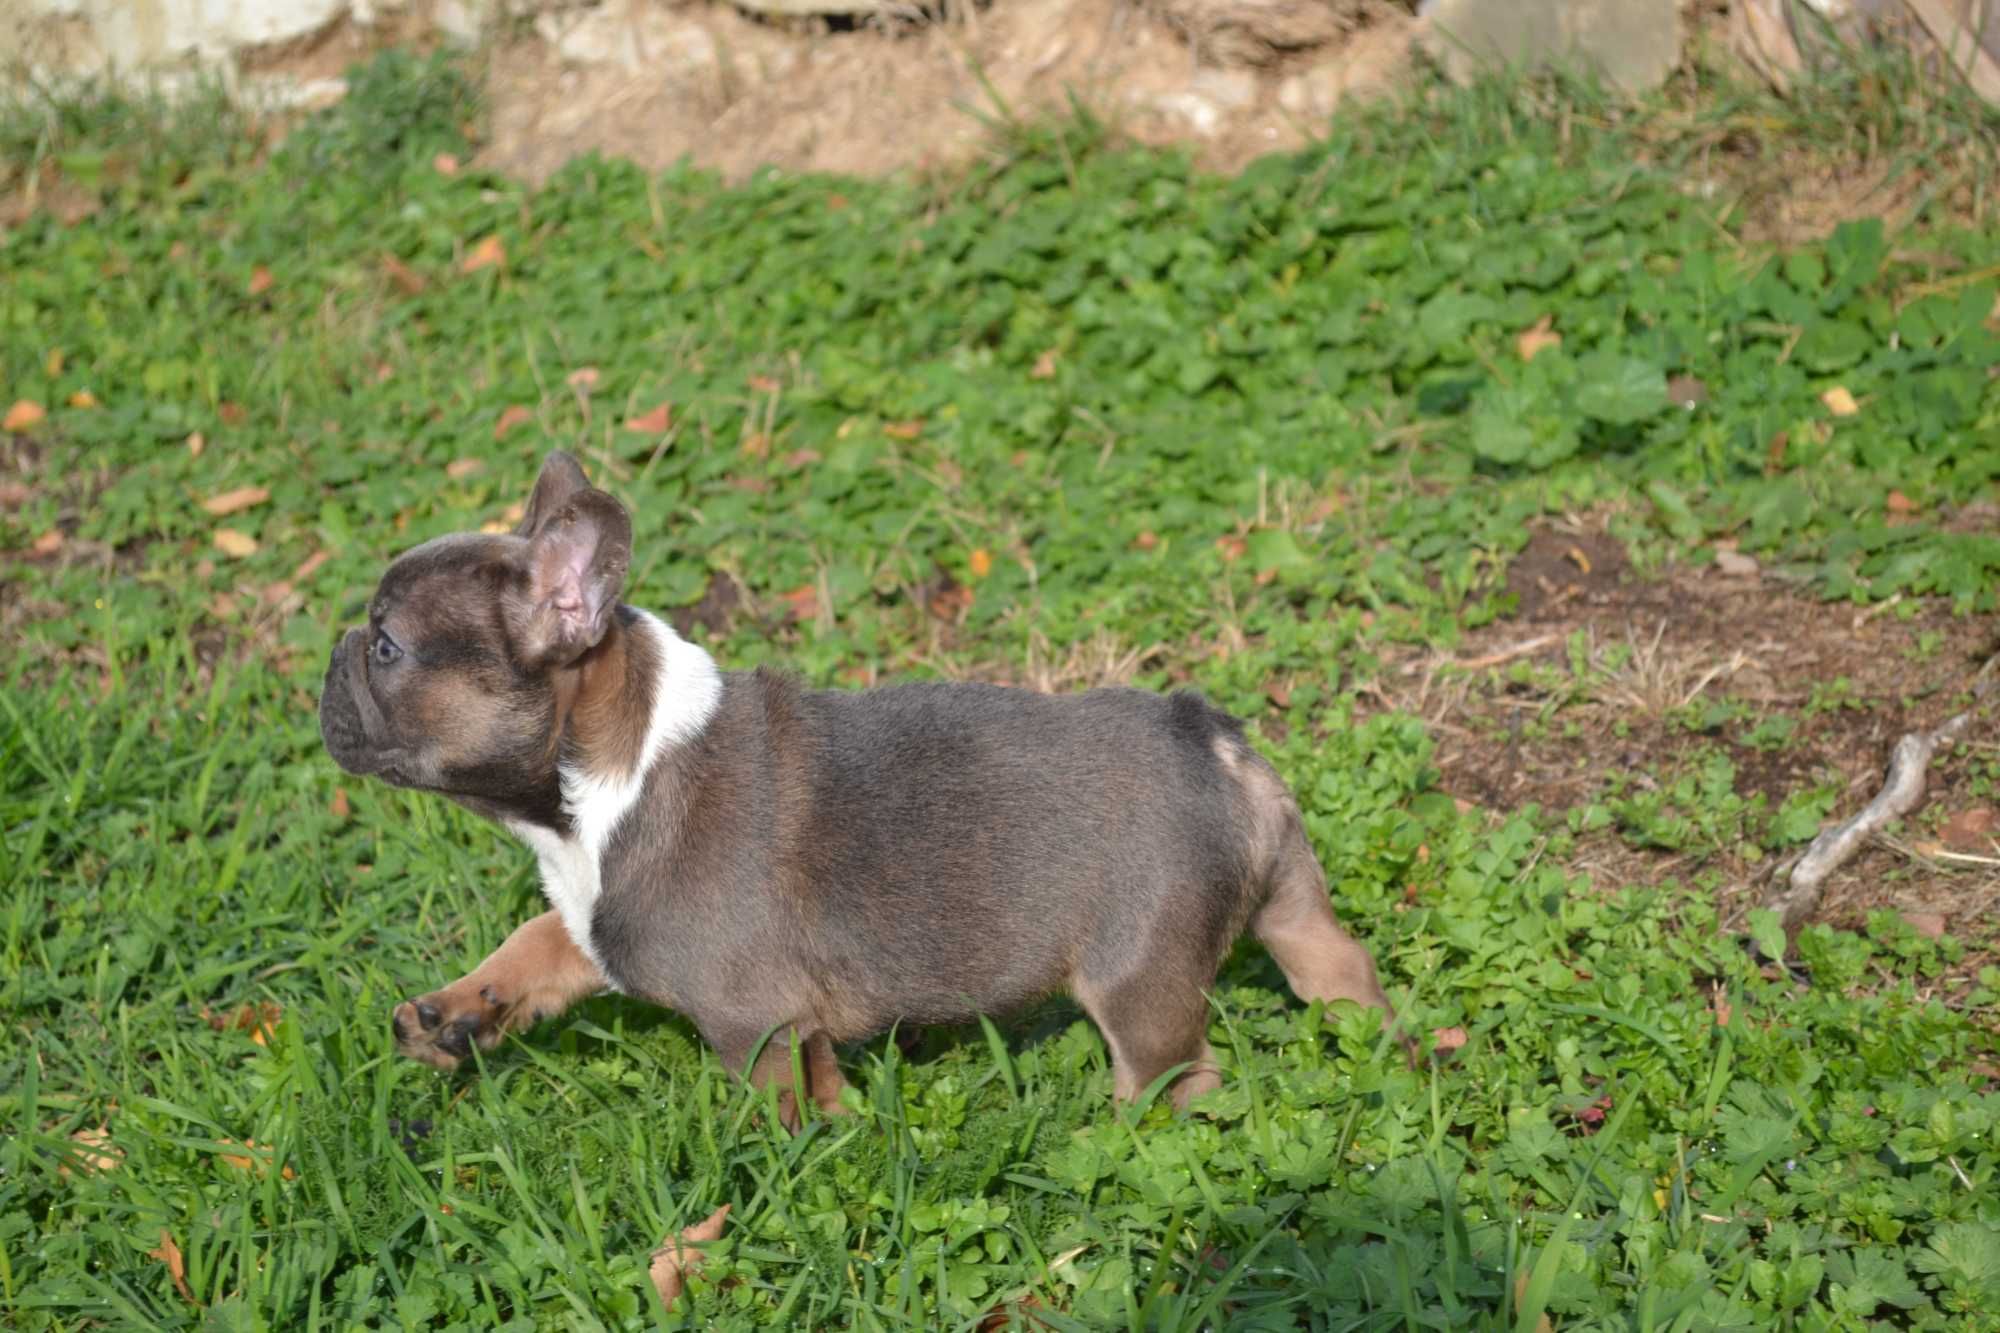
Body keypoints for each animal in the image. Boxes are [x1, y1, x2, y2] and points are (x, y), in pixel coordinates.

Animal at [320, 448, 1400, 1120]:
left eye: (387, 646)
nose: (329, 656)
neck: (597, 787)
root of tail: (1207, 737)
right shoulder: (603, 919)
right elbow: (541, 937)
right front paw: (458, 1011)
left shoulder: (756, 1023)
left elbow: (785, 1107)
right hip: (1289, 903)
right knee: (1336, 966)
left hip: (1138, 975)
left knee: (1179, 1074)